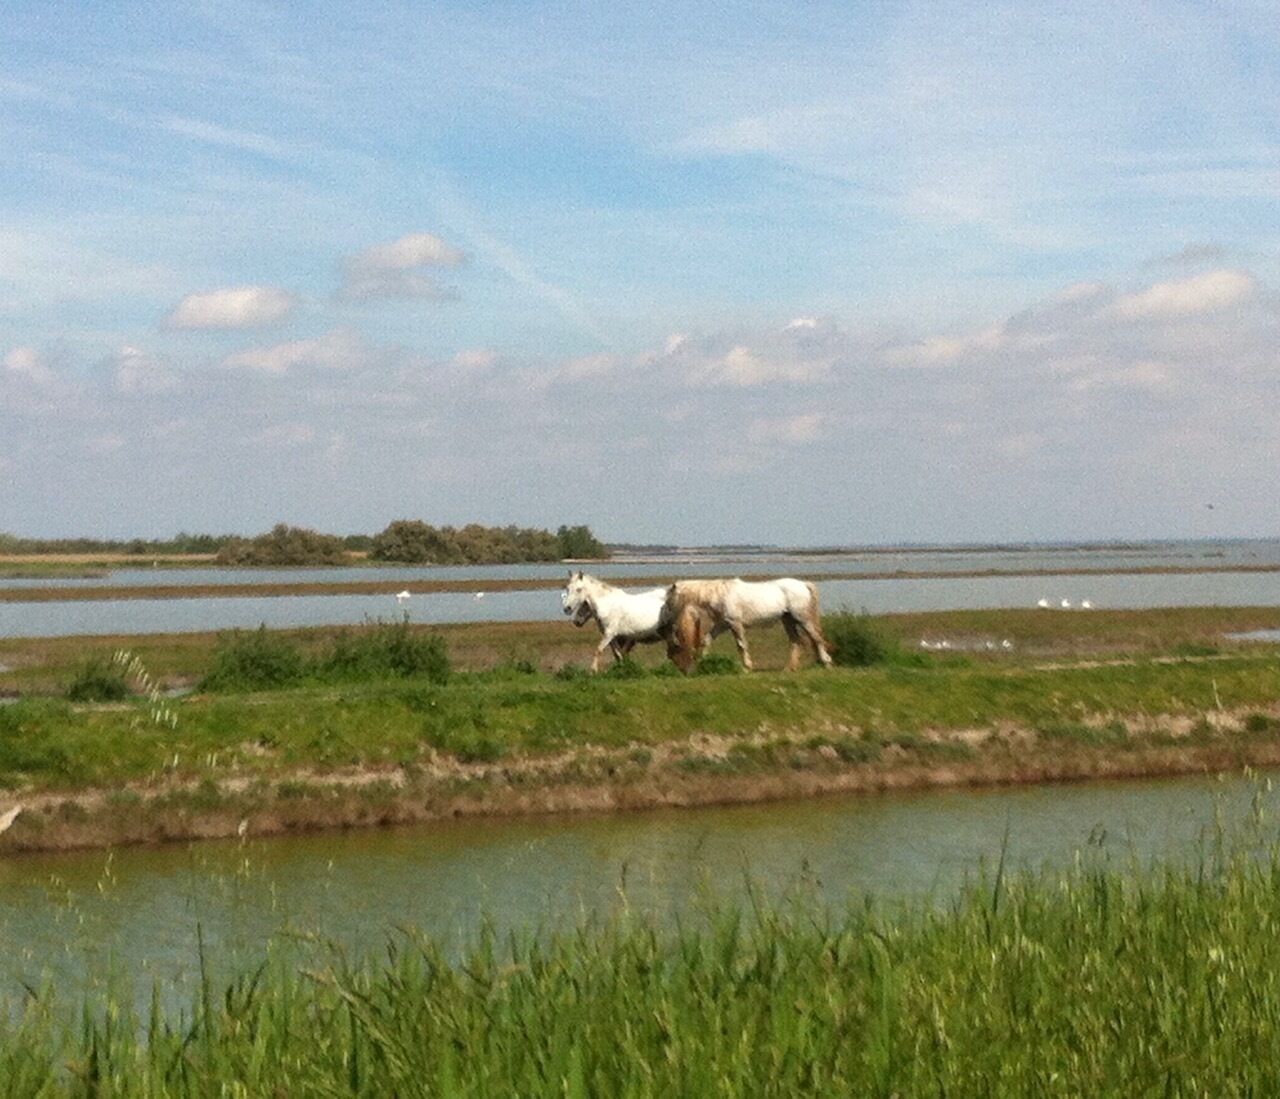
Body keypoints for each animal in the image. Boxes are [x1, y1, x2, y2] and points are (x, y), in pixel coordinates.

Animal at [660, 577, 833, 673]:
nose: (664, 617)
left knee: (816, 638)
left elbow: (741, 645)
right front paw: (703, 662)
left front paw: (747, 667)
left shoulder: (735, 624)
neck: (720, 594)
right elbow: (707, 640)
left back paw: (826, 662)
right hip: (788, 620)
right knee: (796, 641)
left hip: (802, 618)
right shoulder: (723, 624)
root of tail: (803, 584)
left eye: (668, 599)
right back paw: (790, 668)